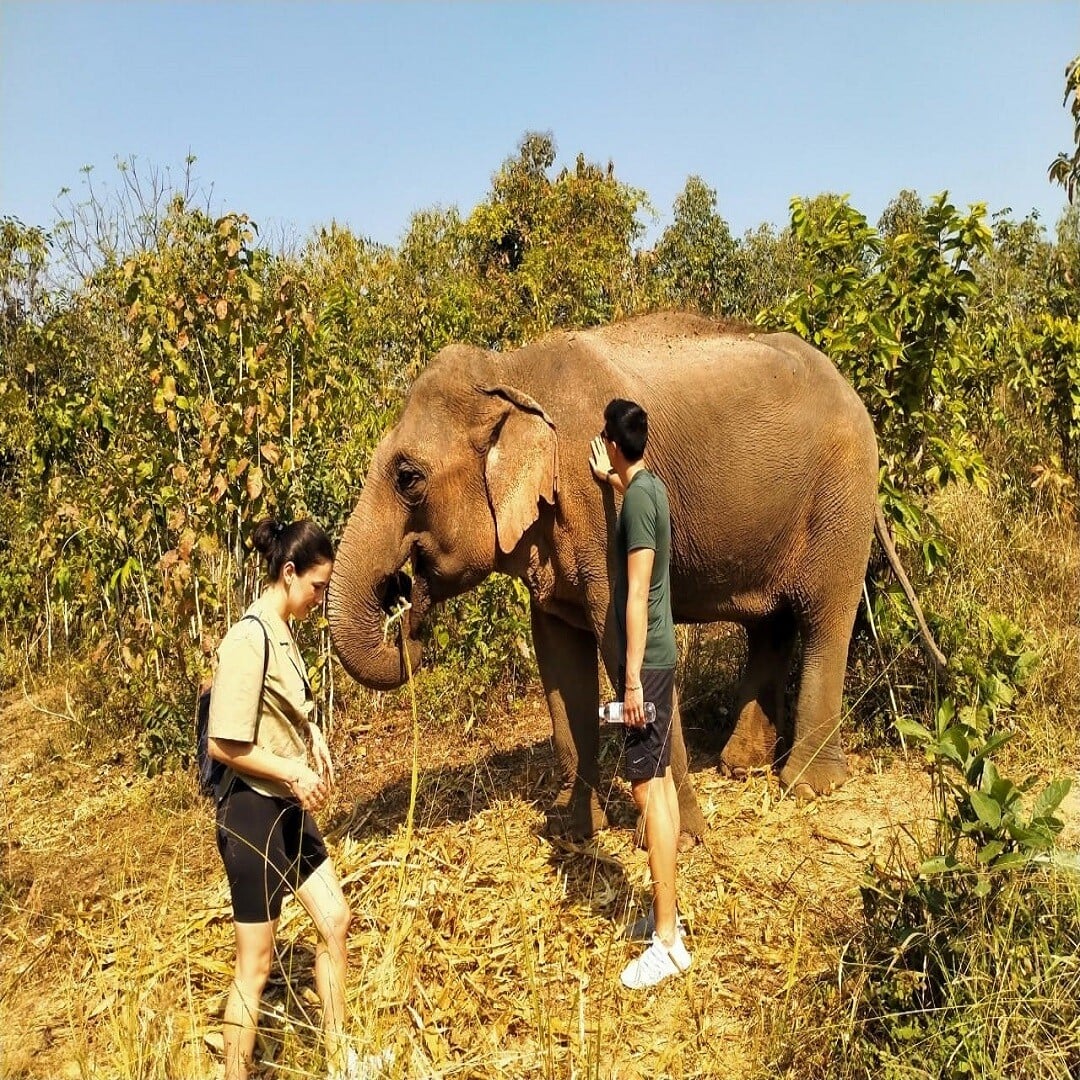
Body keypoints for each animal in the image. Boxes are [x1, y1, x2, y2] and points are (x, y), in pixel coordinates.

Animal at [327, 312, 944, 840]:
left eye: (408, 478)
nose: (404, 595)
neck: (511, 372)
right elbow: (558, 656)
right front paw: (574, 828)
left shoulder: (602, 511)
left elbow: (623, 636)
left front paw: (683, 834)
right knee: (770, 624)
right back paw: (740, 767)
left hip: (842, 495)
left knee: (825, 617)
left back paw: (807, 786)